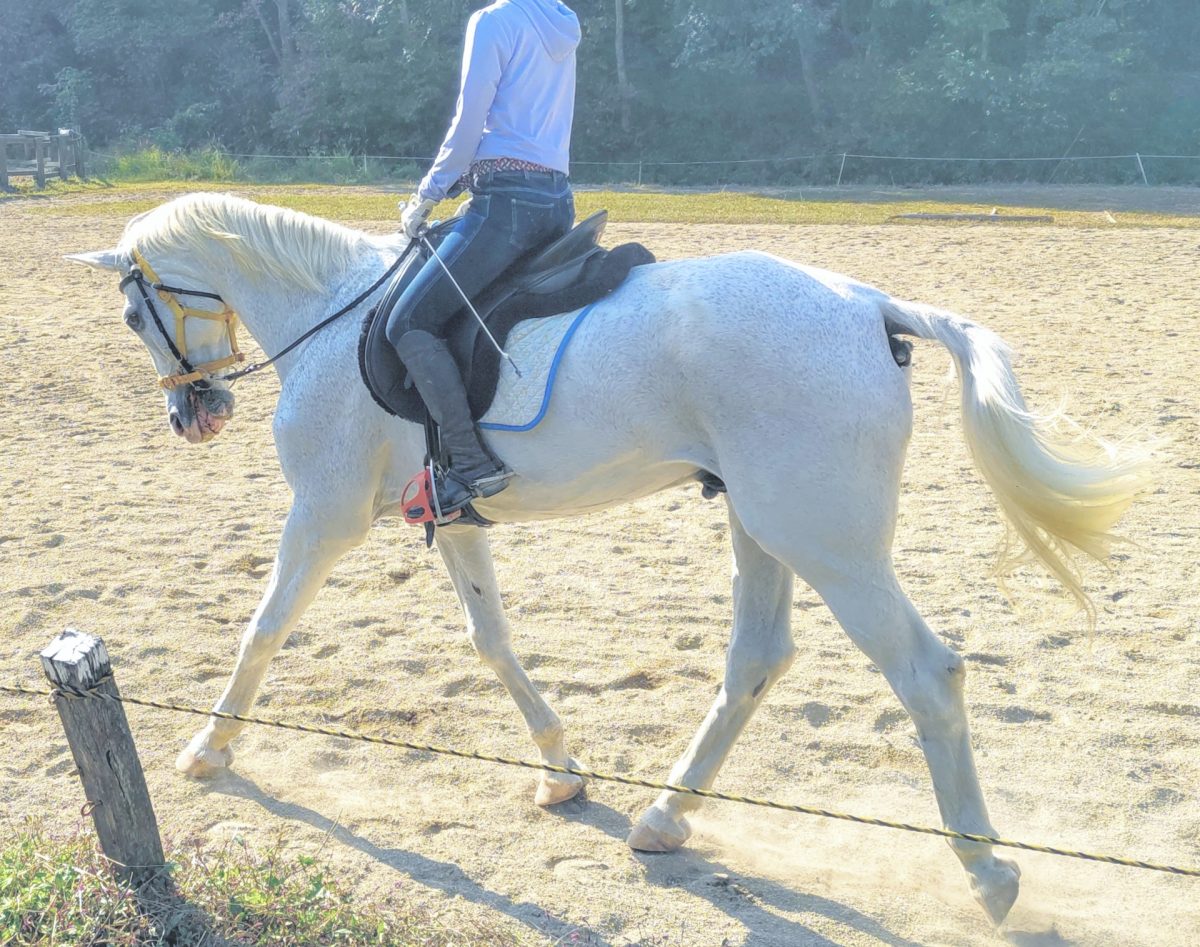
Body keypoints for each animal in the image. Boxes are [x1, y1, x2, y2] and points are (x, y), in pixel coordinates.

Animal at [67, 191, 1150, 925]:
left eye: (130, 314)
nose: (193, 415)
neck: (330, 314)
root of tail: (870, 306)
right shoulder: (457, 520)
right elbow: (491, 639)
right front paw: (560, 769)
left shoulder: (323, 513)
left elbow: (265, 625)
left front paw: (208, 749)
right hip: (761, 524)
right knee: (756, 660)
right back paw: (664, 815)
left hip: (823, 537)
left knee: (925, 673)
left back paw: (990, 872)